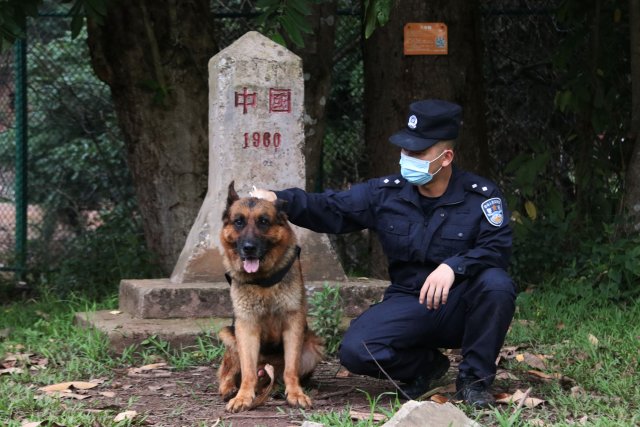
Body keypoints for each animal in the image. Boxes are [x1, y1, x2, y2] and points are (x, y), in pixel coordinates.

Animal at [217, 181, 325, 413]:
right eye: (238, 222)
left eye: (263, 222)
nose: (248, 248)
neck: (263, 280)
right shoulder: (246, 327)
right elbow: (247, 371)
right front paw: (243, 397)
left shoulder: (293, 324)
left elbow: (291, 368)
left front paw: (295, 394)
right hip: (229, 335)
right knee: (229, 371)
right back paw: (229, 389)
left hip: (313, 346)